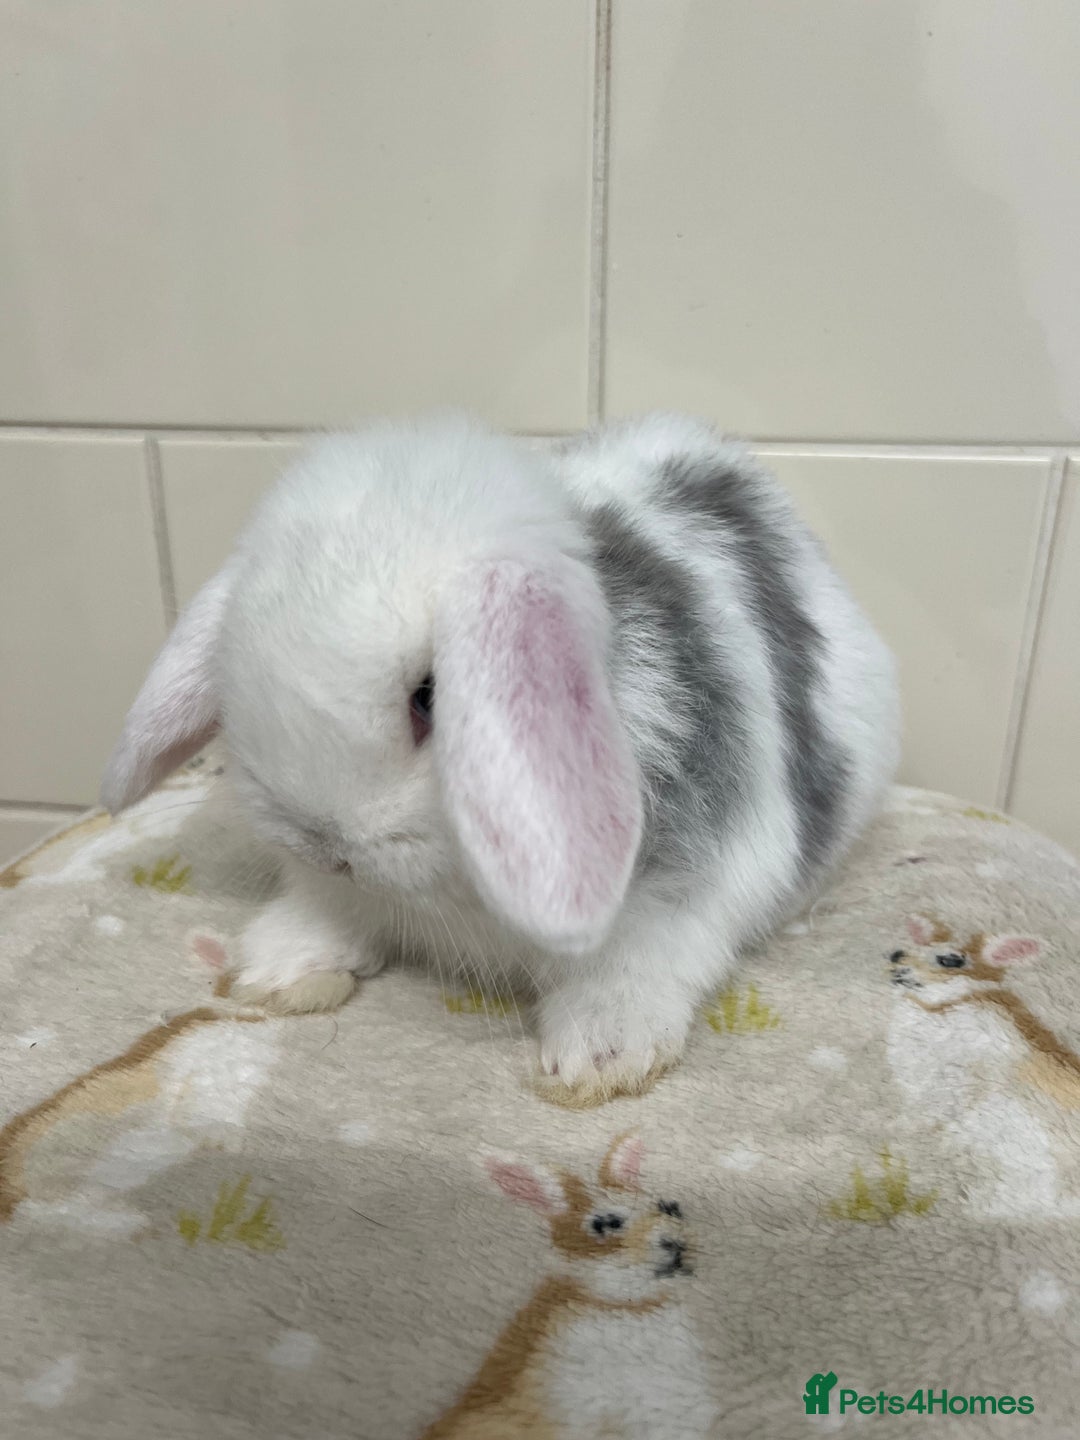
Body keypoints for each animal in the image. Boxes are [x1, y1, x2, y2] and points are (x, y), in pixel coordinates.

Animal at [102, 411, 898, 1105]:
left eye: (429, 698)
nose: (323, 842)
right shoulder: (346, 891)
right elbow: (331, 912)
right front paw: (281, 971)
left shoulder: (686, 894)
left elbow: (636, 964)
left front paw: (598, 1059)